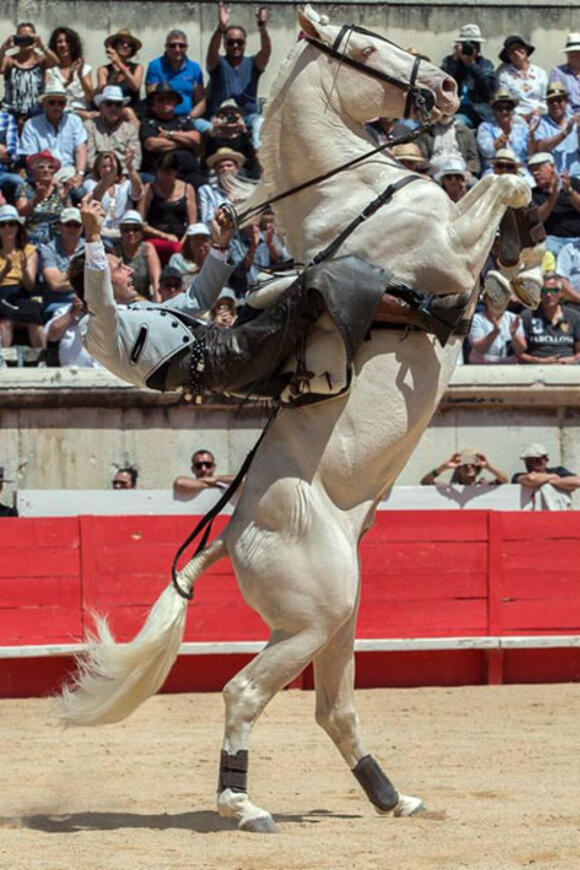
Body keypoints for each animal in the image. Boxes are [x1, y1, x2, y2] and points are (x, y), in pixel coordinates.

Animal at [56, 6, 540, 836]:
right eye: (369, 44)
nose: (450, 87)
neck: (351, 194)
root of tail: (232, 535)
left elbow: (503, 203)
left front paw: (523, 272)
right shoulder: (447, 247)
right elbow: (501, 182)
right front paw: (520, 244)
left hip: (341, 616)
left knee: (334, 709)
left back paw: (392, 796)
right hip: (314, 620)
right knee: (245, 692)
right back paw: (243, 803)